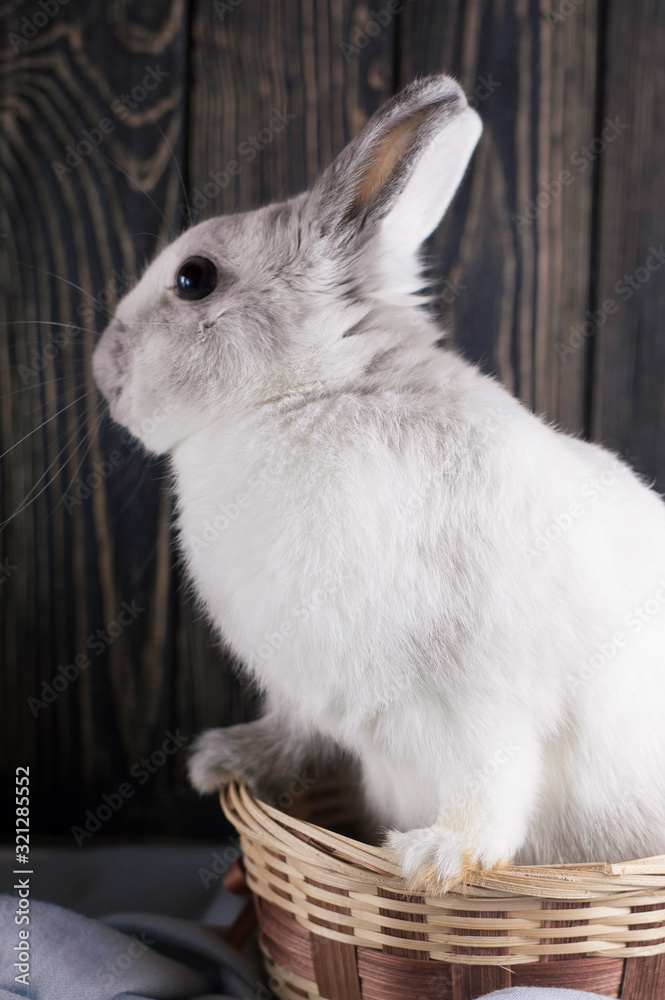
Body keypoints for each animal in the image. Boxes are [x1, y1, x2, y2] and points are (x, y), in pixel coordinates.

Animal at [92, 73, 665, 892]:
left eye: (193, 279)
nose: (102, 371)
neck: (305, 394)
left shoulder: (480, 697)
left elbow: (493, 782)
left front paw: (441, 859)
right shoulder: (300, 692)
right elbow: (292, 732)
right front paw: (224, 763)